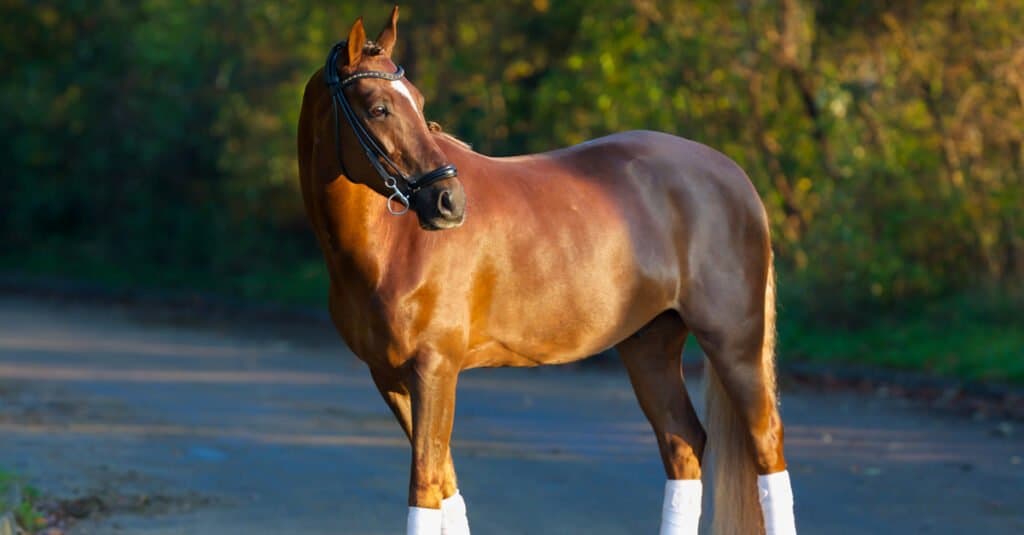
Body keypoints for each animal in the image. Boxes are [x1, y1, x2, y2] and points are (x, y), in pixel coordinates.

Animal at [299, 6, 798, 528]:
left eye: (416, 101)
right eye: (378, 108)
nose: (449, 202)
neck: (394, 245)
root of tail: (733, 175)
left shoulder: (434, 369)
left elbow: (424, 490)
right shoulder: (390, 377)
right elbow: (446, 488)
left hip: (735, 345)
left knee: (767, 449)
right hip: (650, 345)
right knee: (683, 445)